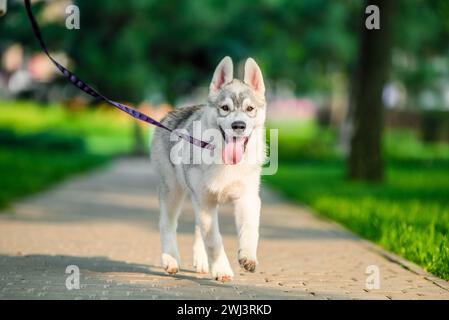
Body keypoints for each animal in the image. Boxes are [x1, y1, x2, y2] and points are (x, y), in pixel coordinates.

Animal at [150, 56, 266, 282]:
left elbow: (250, 229)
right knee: (167, 223)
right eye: (225, 108)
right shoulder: (204, 201)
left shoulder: (247, 198)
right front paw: (221, 269)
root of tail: (172, 112)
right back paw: (170, 259)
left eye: (249, 109)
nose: (238, 125)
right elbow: (213, 239)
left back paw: (201, 262)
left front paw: (248, 257)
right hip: (173, 191)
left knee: (197, 228)